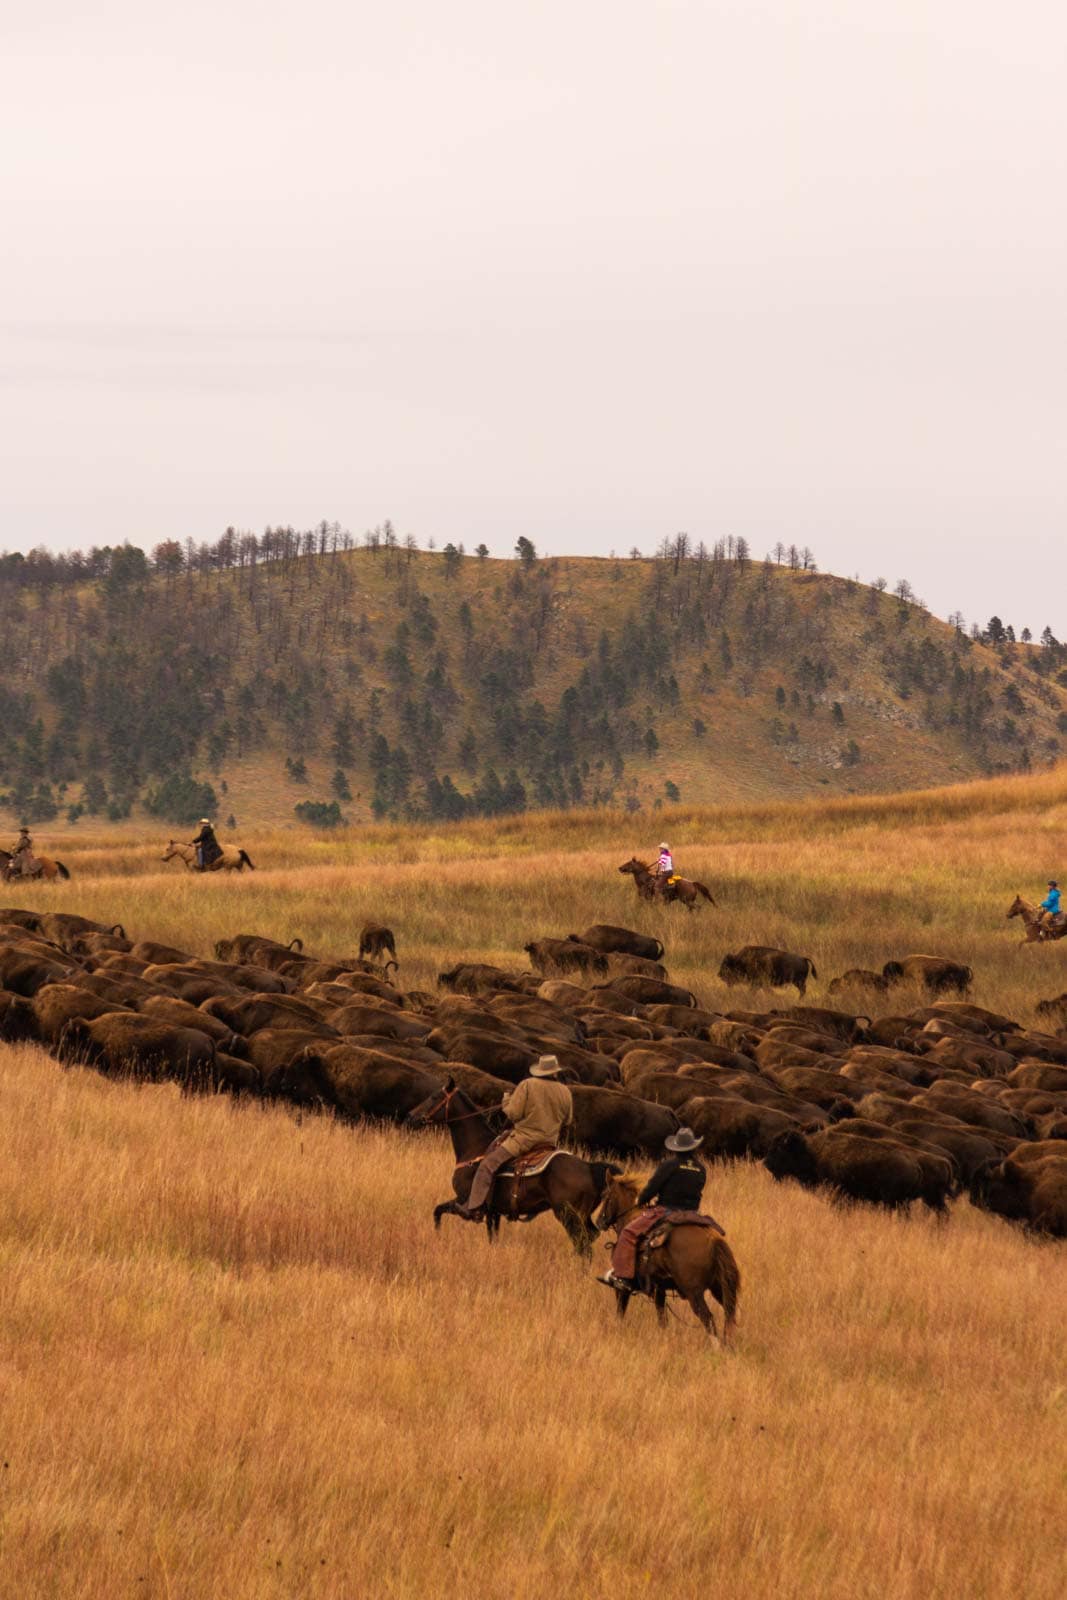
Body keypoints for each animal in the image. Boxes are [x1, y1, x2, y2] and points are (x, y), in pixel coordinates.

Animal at [412, 1081, 627, 1254]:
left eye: (434, 1097)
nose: (412, 1115)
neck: (475, 1148)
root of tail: (590, 1168)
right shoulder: (494, 1212)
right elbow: (492, 1237)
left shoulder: (463, 1200)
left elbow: (438, 1210)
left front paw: (438, 1236)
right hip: (582, 1216)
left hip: (569, 1216)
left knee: (583, 1244)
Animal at [598, 1171, 739, 1344]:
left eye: (605, 1195)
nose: (599, 1221)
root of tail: (713, 1240)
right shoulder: (659, 1288)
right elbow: (662, 1318)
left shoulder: (621, 1287)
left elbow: (620, 1310)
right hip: (718, 1287)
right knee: (728, 1313)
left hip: (694, 1293)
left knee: (708, 1318)